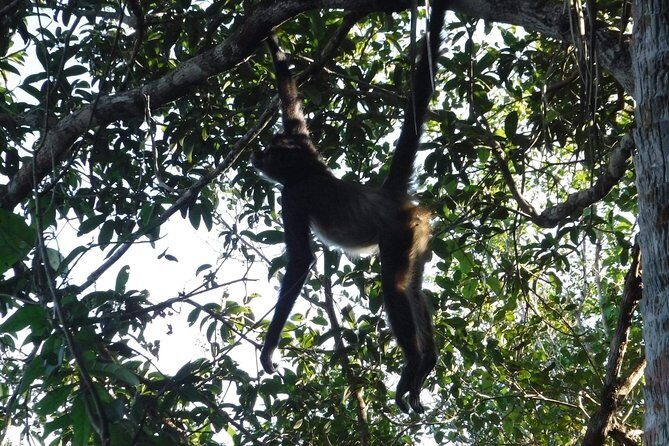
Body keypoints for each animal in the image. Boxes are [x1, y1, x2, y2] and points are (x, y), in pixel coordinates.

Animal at [252, 1, 447, 413]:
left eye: (271, 152)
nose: (257, 155)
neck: (309, 169)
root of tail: (389, 196)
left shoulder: (292, 196)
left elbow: (301, 261)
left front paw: (268, 349)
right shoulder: (303, 139)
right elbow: (289, 93)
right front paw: (271, 39)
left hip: (398, 233)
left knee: (395, 286)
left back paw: (414, 364)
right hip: (420, 238)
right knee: (415, 287)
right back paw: (428, 364)